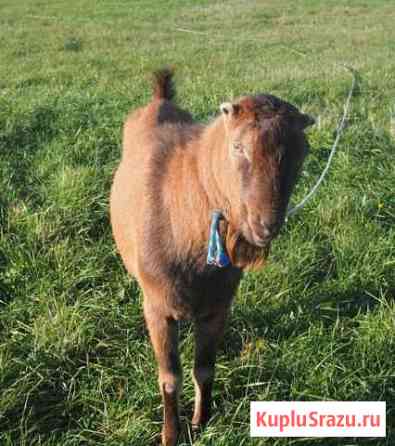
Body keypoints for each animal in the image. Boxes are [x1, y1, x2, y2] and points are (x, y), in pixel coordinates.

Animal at [110, 68, 314, 444]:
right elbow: (169, 379)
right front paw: (171, 434)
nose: (266, 224)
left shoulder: (218, 306)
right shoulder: (159, 309)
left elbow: (204, 369)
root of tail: (160, 99)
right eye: (238, 146)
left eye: (302, 152)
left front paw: (201, 421)